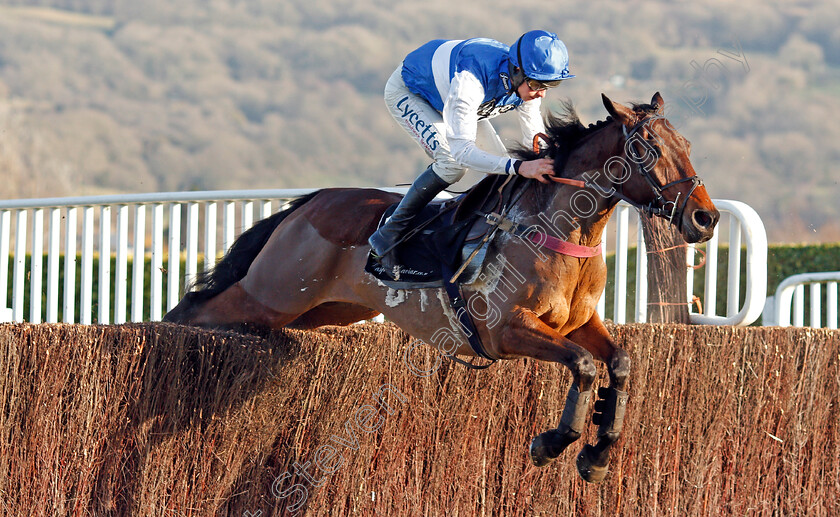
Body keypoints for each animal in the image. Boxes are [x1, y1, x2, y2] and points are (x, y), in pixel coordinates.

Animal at [167, 93, 720, 484]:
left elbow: (620, 362)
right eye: (649, 150)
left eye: (689, 147)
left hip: (322, 310)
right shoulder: (505, 331)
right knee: (196, 309)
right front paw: (552, 443)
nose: (706, 218)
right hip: (273, 293)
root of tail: (311, 201)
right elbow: (583, 367)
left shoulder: (578, 323)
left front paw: (598, 455)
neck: (559, 228)